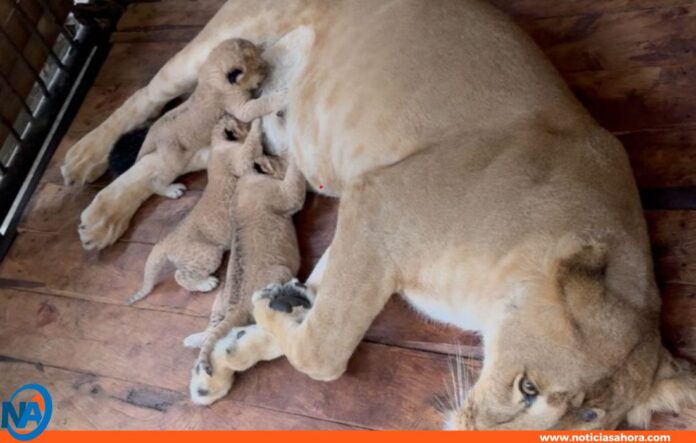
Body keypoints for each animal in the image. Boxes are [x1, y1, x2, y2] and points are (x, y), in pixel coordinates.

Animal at [59, 0, 695, 429]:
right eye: (528, 388)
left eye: (585, 424)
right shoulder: (379, 207)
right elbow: (325, 350)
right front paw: (261, 318)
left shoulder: (366, 226)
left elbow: (313, 314)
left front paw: (233, 348)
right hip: (227, 38)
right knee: (146, 93)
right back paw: (84, 164)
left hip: (230, 111)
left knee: (172, 157)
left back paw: (106, 214)